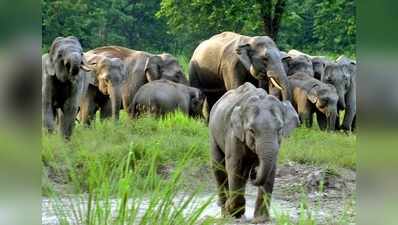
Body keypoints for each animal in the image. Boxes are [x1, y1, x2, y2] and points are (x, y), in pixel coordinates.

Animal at [208, 82, 298, 223]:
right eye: (251, 130)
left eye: (279, 129)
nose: (255, 172)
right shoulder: (233, 135)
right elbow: (234, 167)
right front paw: (233, 211)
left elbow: (271, 170)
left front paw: (261, 220)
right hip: (213, 132)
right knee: (219, 168)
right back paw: (225, 213)